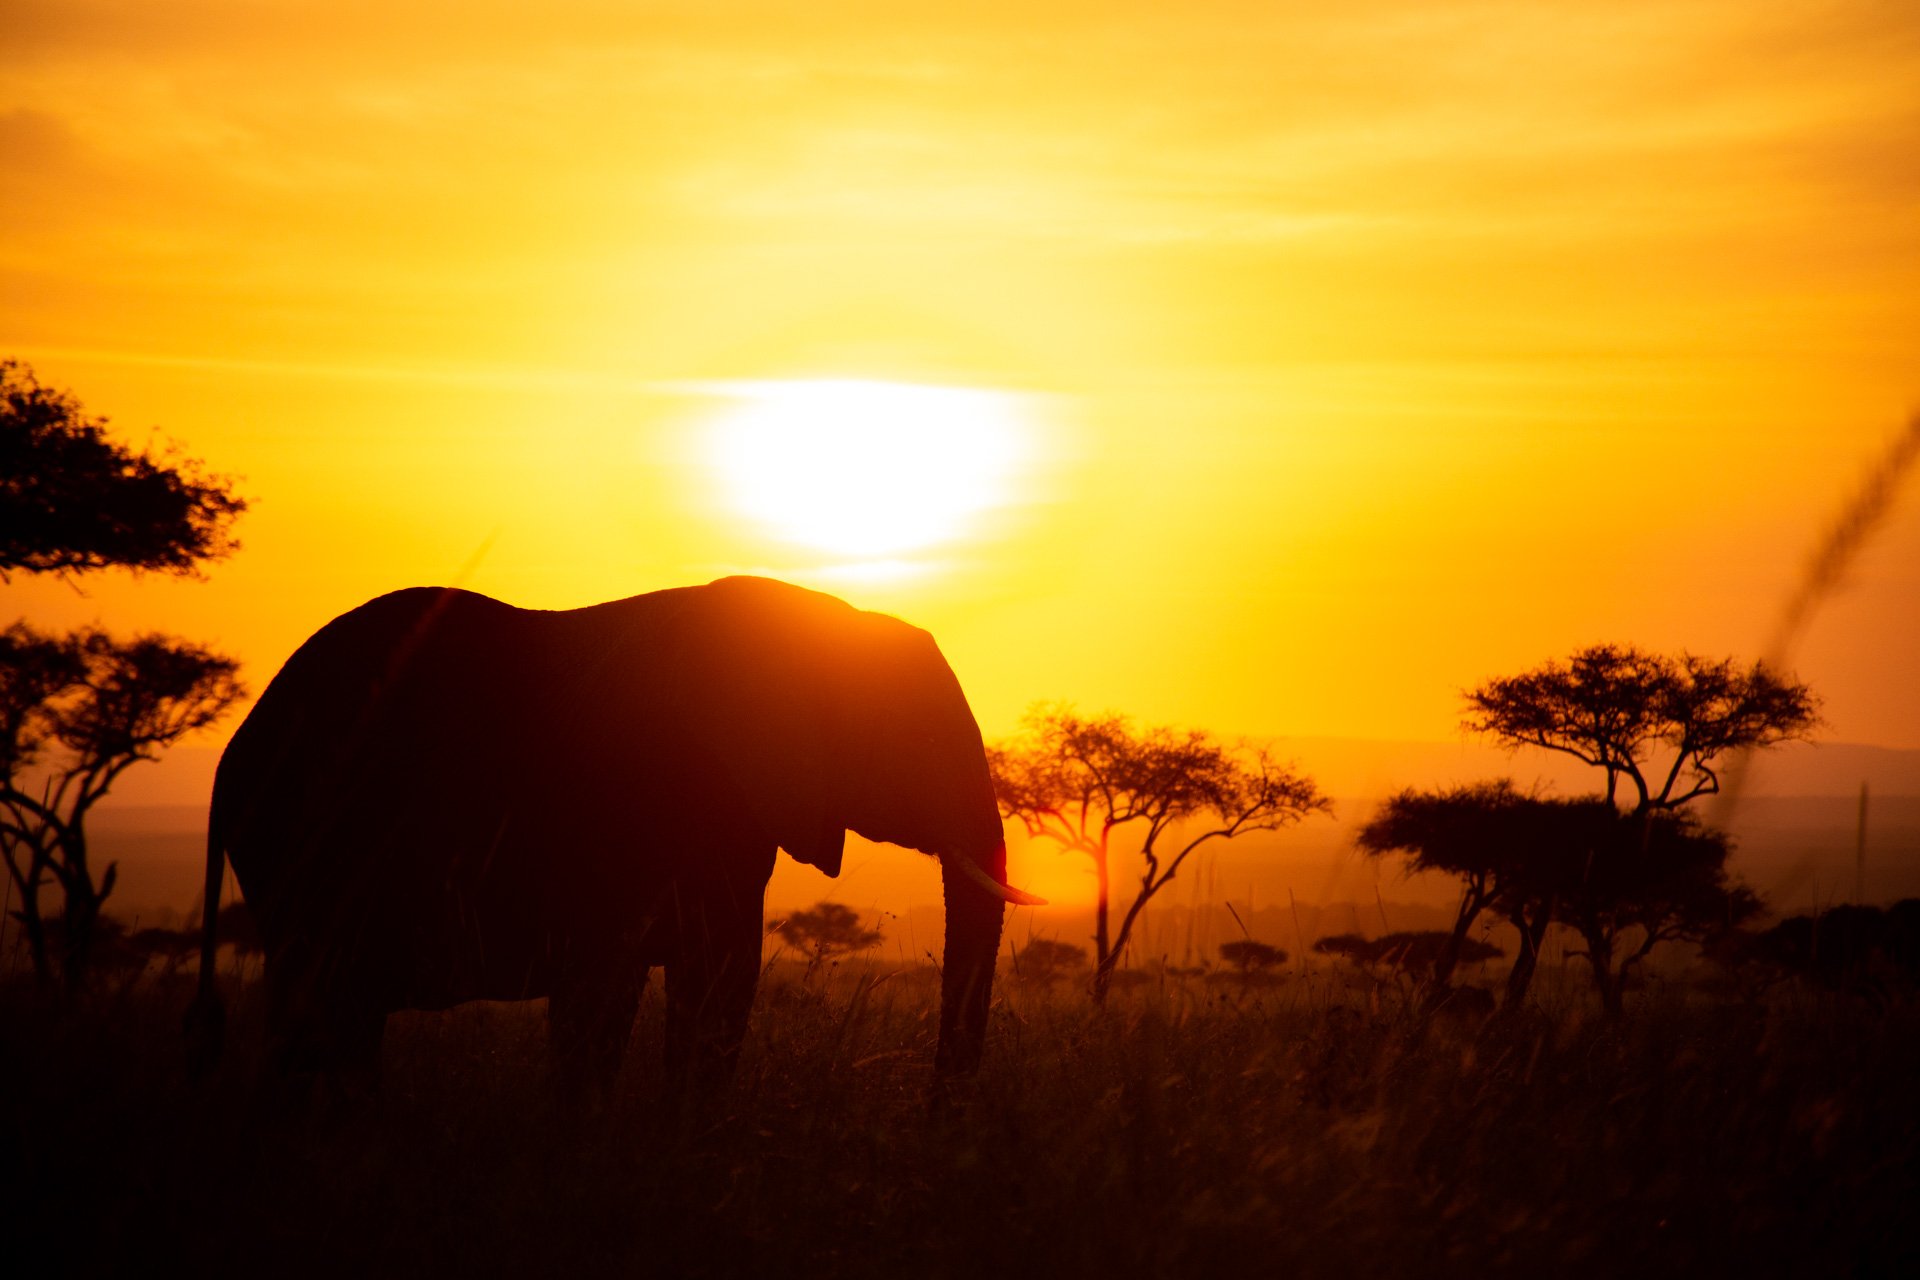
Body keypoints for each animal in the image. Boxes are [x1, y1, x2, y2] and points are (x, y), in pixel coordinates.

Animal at [187, 579, 1044, 1105]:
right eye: (921, 736)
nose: (932, 1114)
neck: (820, 620)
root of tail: (231, 750)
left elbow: (714, 978)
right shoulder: (650, 793)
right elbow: (612, 987)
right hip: (305, 831)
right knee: (327, 1006)